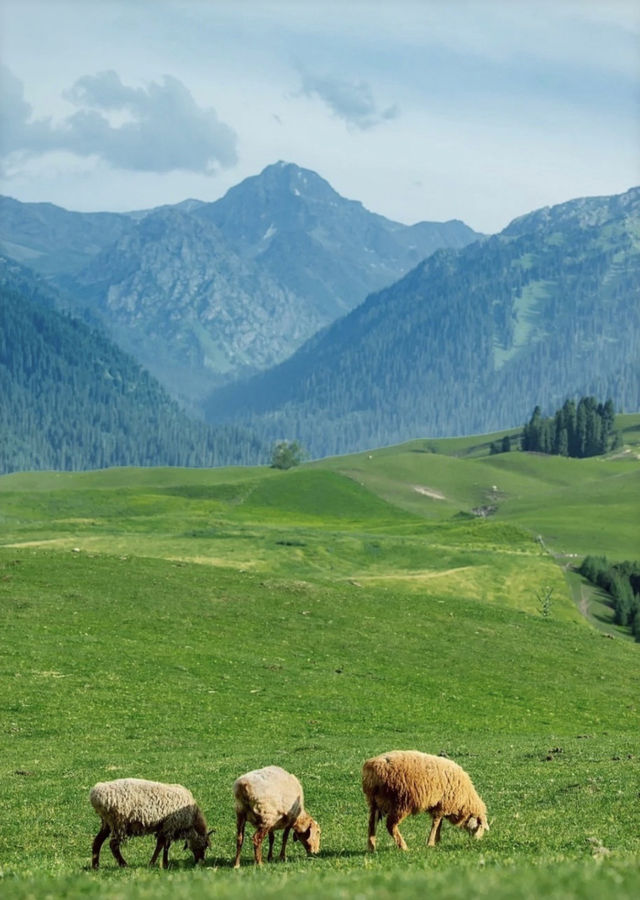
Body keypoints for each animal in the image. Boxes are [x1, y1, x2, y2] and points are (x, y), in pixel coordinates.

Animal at [360, 752, 490, 852]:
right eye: (481, 826)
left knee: (372, 823)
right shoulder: (442, 805)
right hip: (401, 802)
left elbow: (439, 823)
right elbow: (436, 823)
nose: (477, 841)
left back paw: (371, 847)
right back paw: (404, 847)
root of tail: (373, 768)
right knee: (390, 825)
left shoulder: (439, 805)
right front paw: (431, 842)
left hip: (375, 802)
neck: (464, 801)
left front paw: (437, 840)